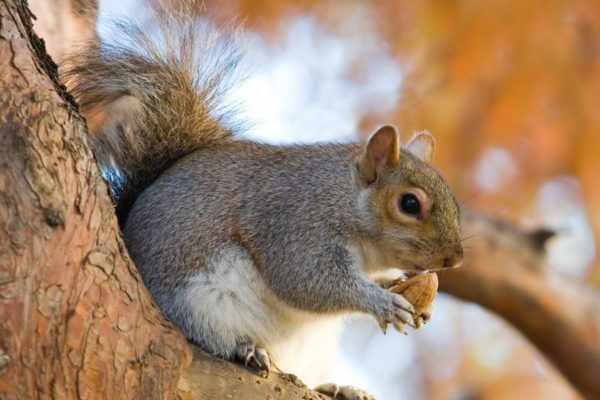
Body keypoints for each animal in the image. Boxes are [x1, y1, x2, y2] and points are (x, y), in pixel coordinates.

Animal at [62, 2, 464, 396]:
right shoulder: (295, 223)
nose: (455, 259)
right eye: (409, 204)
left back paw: (337, 387)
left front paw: (403, 291)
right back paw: (246, 349)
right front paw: (380, 302)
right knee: (209, 335)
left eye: (455, 205)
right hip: (198, 303)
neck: (344, 201)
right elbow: (306, 280)